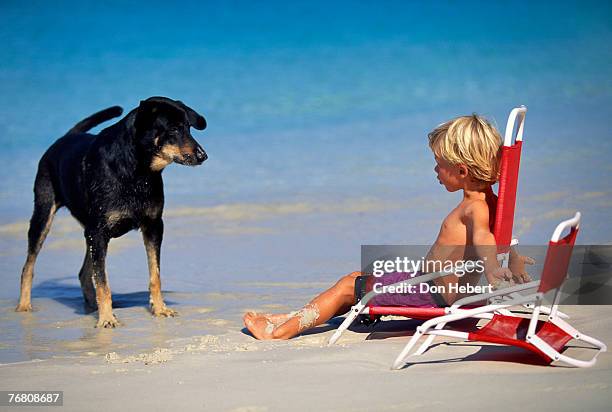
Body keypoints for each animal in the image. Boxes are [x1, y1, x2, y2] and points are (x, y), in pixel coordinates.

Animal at [15, 96, 207, 328]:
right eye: (173, 128)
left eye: (188, 127)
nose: (203, 156)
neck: (137, 171)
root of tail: (65, 137)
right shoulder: (97, 231)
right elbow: (103, 281)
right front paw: (107, 319)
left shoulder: (153, 225)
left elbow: (155, 274)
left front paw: (160, 309)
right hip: (45, 215)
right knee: (28, 266)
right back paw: (24, 306)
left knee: (83, 273)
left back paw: (90, 306)